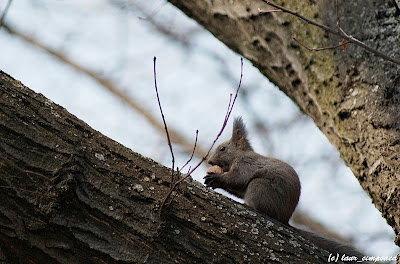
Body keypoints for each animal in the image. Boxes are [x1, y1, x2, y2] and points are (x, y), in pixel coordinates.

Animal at [205, 118, 368, 262]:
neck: (239, 155)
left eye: (222, 148)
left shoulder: (245, 165)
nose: (209, 161)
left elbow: (237, 179)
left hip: (260, 187)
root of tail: (285, 219)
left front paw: (217, 178)